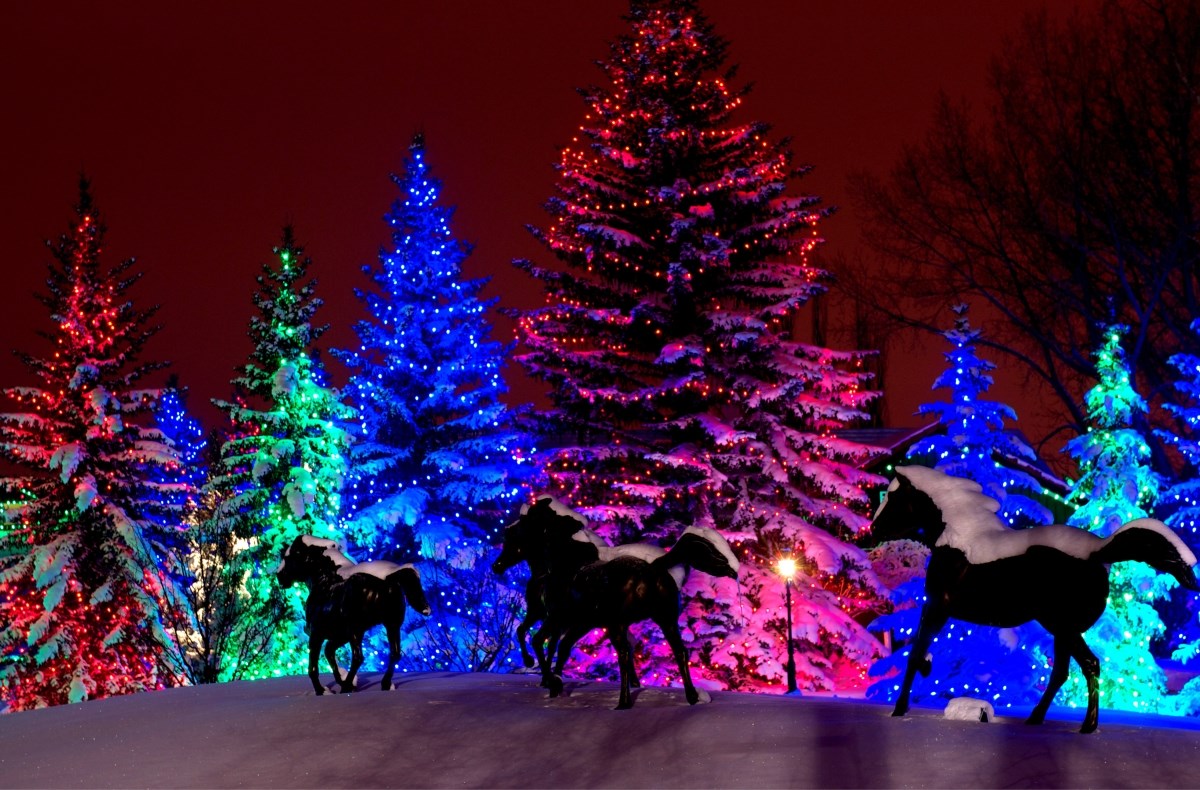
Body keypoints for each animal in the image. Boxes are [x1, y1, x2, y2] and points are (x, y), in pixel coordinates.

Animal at [276, 535, 432, 696]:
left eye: (287, 557)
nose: (279, 575)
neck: (325, 581)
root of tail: (387, 579)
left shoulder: (316, 633)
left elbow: (313, 667)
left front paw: (322, 690)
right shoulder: (339, 635)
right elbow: (329, 653)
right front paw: (344, 682)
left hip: (356, 630)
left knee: (358, 657)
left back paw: (346, 688)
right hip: (391, 625)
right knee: (394, 654)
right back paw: (385, 685)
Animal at [489, 499, 734, 705]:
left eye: (521, 529)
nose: (496, 566)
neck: (565, 563)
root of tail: (652, 569)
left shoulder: (557, 617)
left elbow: (539, 641)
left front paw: (548, 679)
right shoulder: (581, 622)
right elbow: (561, 647)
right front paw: (554, 682)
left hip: (617, 624)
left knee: (624, 654)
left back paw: (623, 702)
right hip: (665, 619)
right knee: (680, 652)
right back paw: (691, 697)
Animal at [873, 463, 1200, 729]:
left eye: (893, 496)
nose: (874, 528)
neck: (957, 540)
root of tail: (1097, 552)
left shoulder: (937, 607)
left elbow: (915, 652)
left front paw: (900, 708)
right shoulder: (939, 610)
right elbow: (919, 650)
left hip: (1062, 626)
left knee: (1088, 665)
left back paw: (1087, 726)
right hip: (1062, 630)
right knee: (1062, 673)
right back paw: (1036, 718)